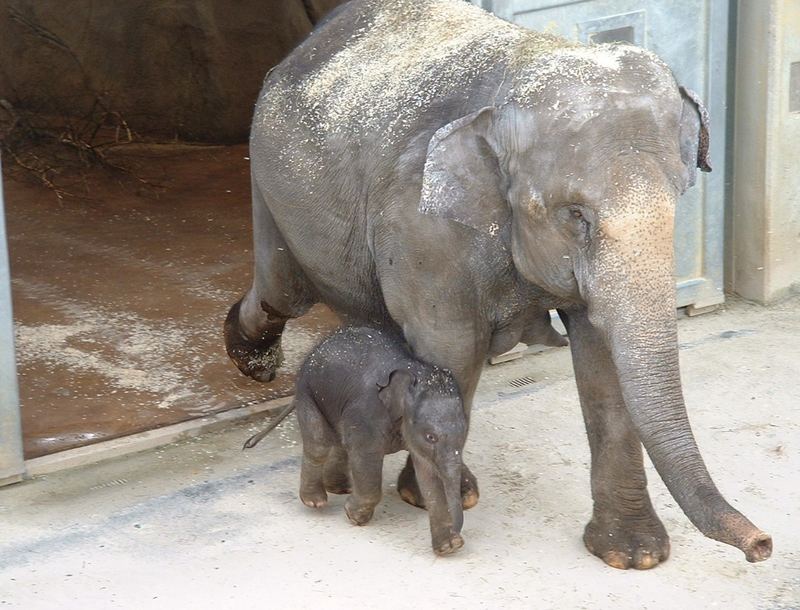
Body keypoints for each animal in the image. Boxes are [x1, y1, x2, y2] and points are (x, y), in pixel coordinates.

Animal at [247, 326, 466, 552]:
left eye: (465, 430)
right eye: (431, 437)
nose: (457, 533)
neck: (414, 371)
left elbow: (429, 477)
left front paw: (449, 547)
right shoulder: (367, 414)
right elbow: (365, 459)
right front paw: (354, 516)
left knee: (339, 440)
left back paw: (339, 488)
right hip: (307, 392)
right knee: (319, 444)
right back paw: (315, 502)